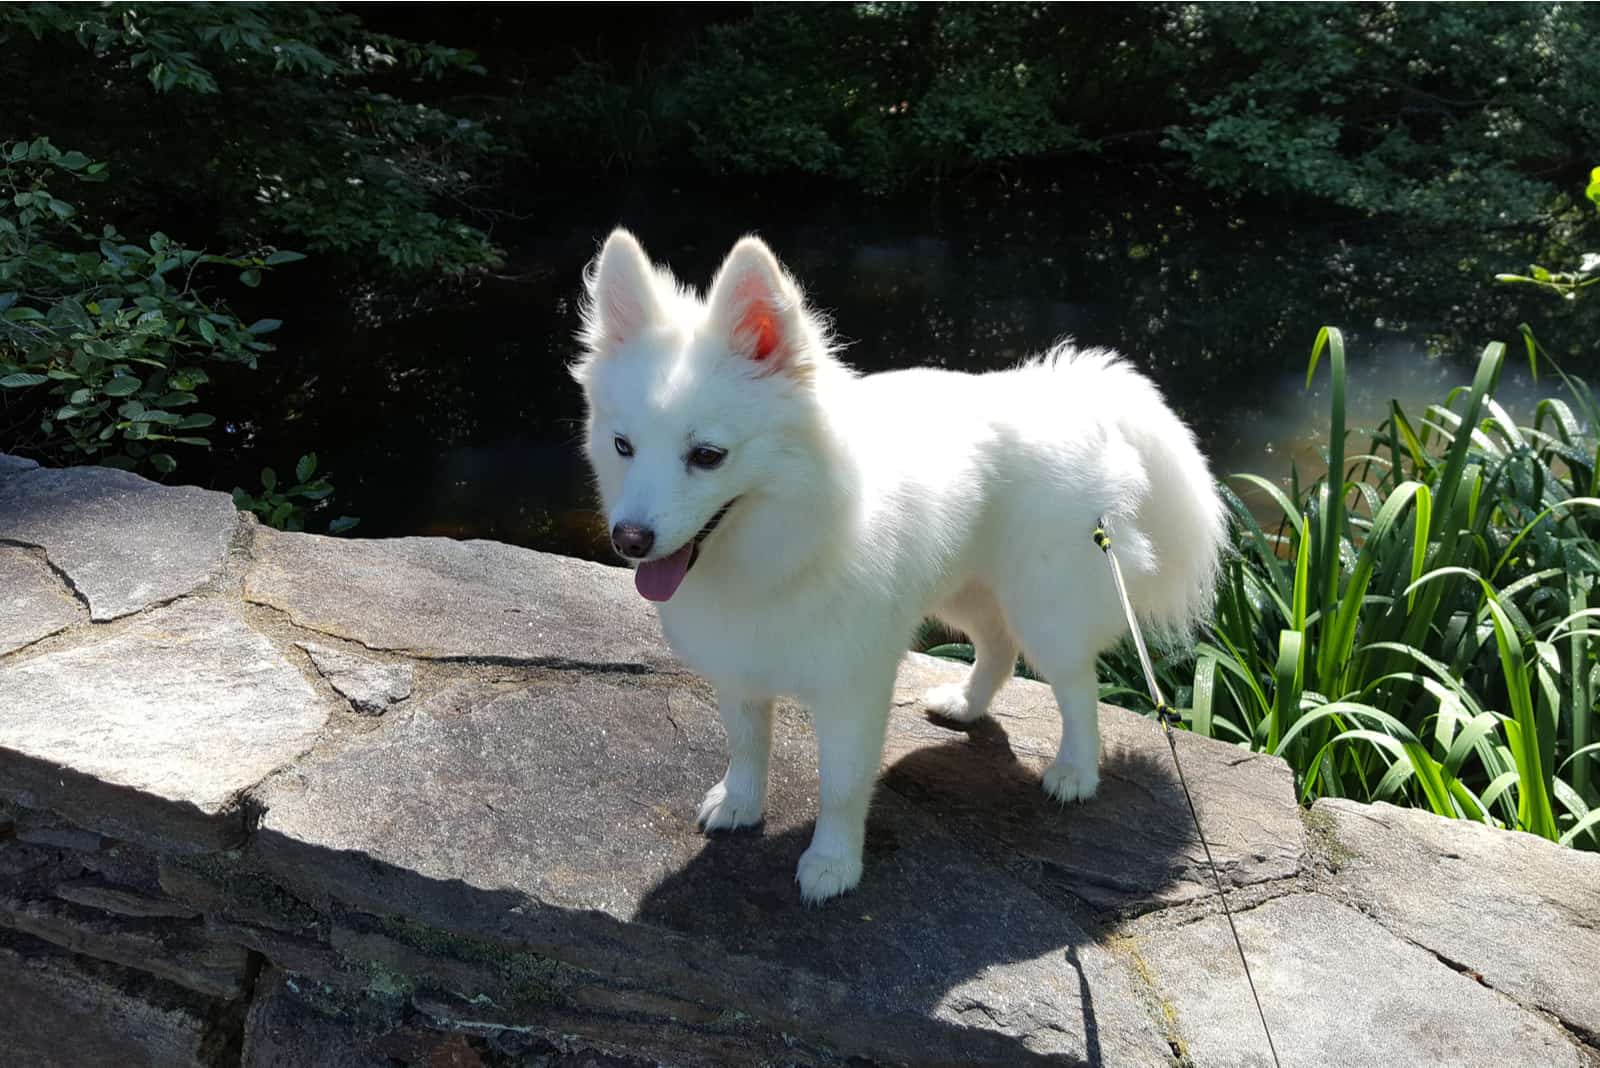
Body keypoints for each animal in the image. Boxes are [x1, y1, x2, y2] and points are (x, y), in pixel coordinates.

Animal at [572, 227, 1222, 901]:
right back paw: (966, 705)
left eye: (707, 456)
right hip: (963, 588)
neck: (788, 543)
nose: (629, 539)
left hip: (1046, 606)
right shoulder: (742, 667)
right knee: (999, 648)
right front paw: (740, 804)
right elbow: (747, 745)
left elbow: (840, 785)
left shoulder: (853, 687)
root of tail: (1072, 395)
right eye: (623, 446)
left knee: (1077, 686)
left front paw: (832, 864)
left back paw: (1075, 771)